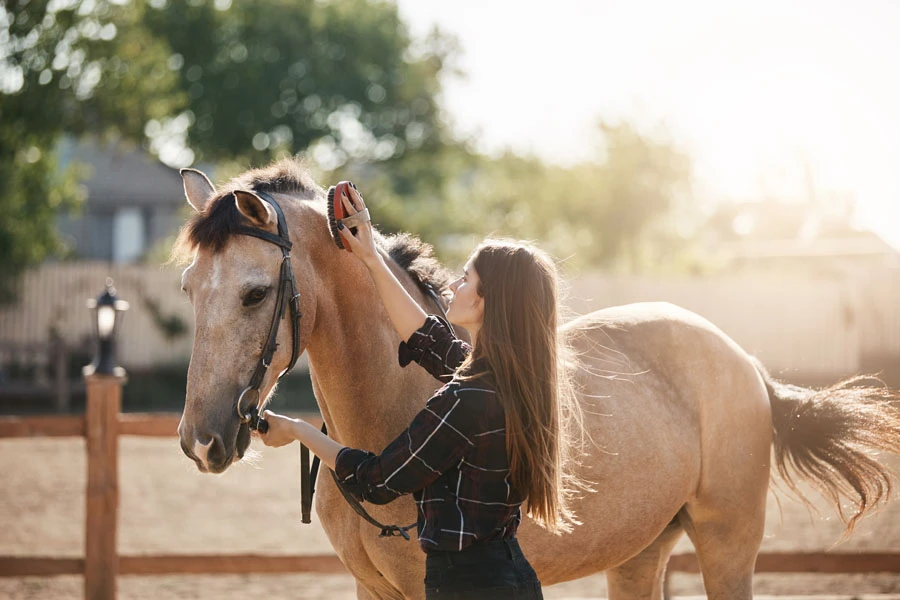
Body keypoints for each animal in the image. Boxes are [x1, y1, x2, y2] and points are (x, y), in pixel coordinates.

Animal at [176, 159, 900, 600]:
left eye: (254, 292)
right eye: (188, 286)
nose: (201, 441)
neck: (391, 410)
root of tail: (745, 364)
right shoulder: (371, 588)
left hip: (728, 549)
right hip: (640, 554)